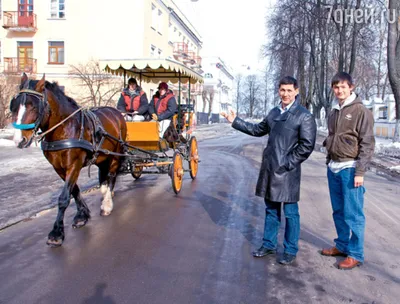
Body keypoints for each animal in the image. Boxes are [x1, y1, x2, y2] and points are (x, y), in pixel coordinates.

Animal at [9, 74, 127, 247]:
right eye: (14, 106)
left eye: (34, 107)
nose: (19, 141)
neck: (64, 127)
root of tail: (116, 112)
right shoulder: (58, 167)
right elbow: (74, 190)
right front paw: (82, 215)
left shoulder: (74, 164)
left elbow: (64, 197)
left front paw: (56, 233)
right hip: (102, 155)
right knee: (104, 176)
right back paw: (107, 192)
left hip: (115, 154)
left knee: (112, 176)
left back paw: (107, 204)